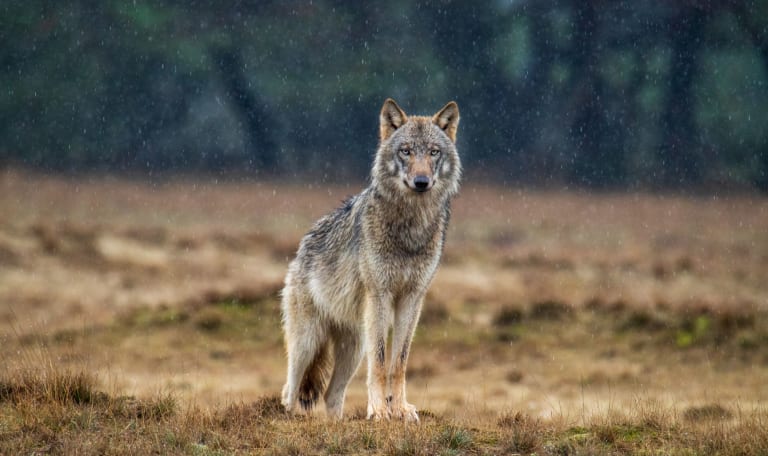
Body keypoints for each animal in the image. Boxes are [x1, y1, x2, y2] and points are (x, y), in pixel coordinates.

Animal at [282, 98, 462, 422]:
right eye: (405, 151)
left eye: (433, 152)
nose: (421, 181)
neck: (410, 228)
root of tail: (302, 245)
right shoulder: (380, 295)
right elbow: (379, 363)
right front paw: (379, 410)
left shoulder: (412, 298)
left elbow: (399, 360)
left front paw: (400, 409)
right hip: (308, 342)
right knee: (289, 389)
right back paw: (290, 418)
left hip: (353, 348)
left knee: (331, 394)